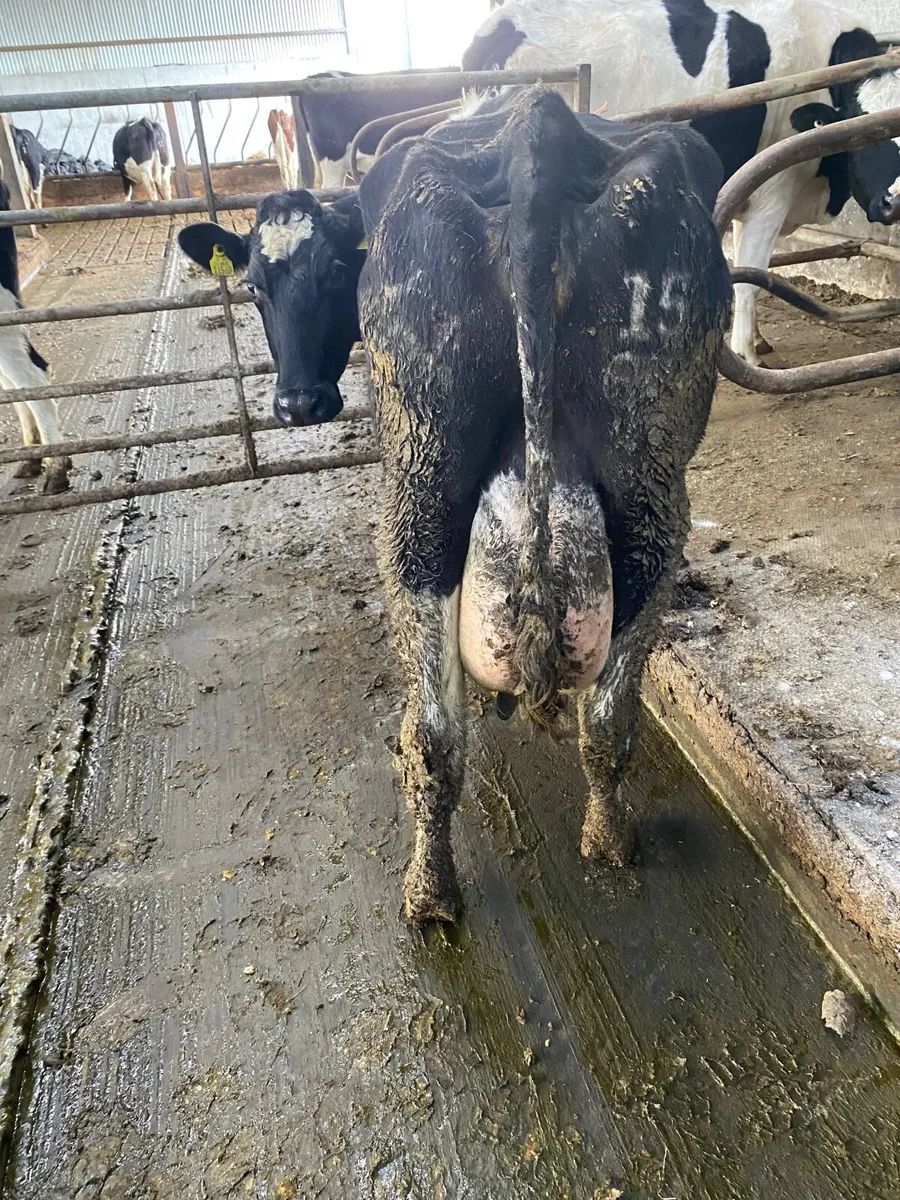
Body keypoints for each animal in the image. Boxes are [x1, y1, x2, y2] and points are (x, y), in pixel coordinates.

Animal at [462, 0, 900, 366]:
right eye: (864, 131)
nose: (894, 202)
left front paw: (756, 339)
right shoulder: (773, 188)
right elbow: (752, 276)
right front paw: (746, 354)